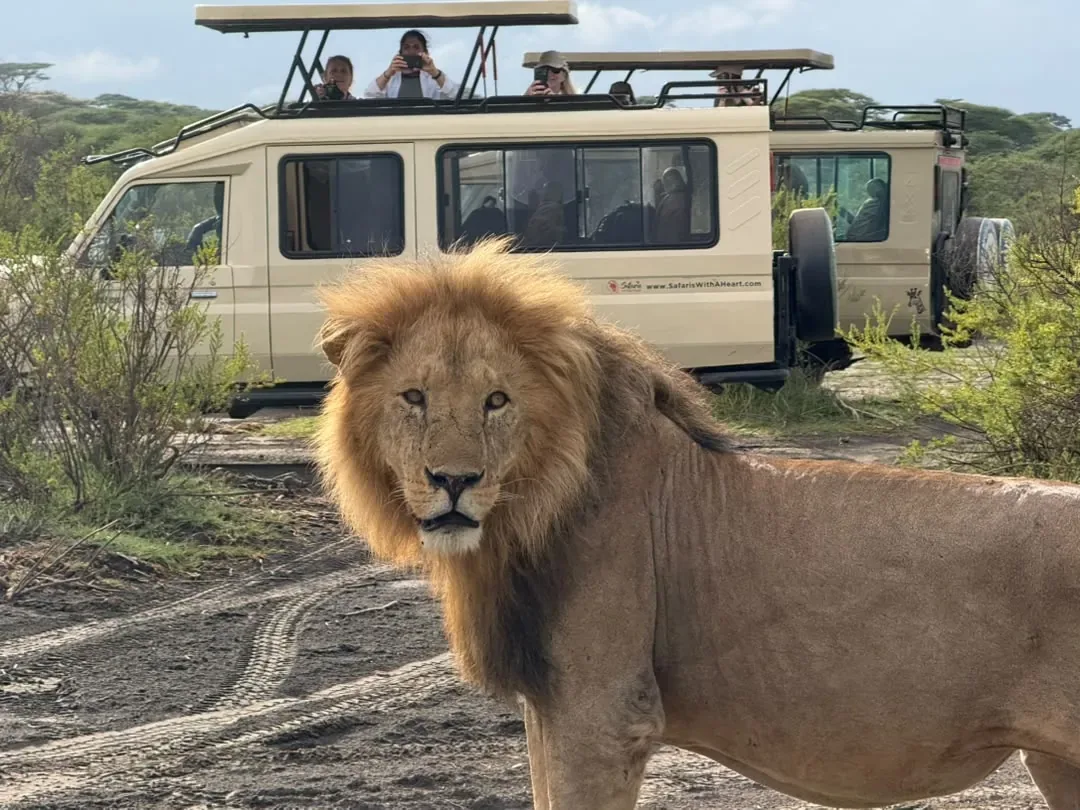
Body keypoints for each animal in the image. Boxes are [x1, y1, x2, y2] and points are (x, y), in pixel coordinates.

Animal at [313, 237, 1080, 810]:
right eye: (414, 397)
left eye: (497, 401)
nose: (453, 481)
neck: (529, 514)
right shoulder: (550, 707)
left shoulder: (605, 713)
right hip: (1055, 762)